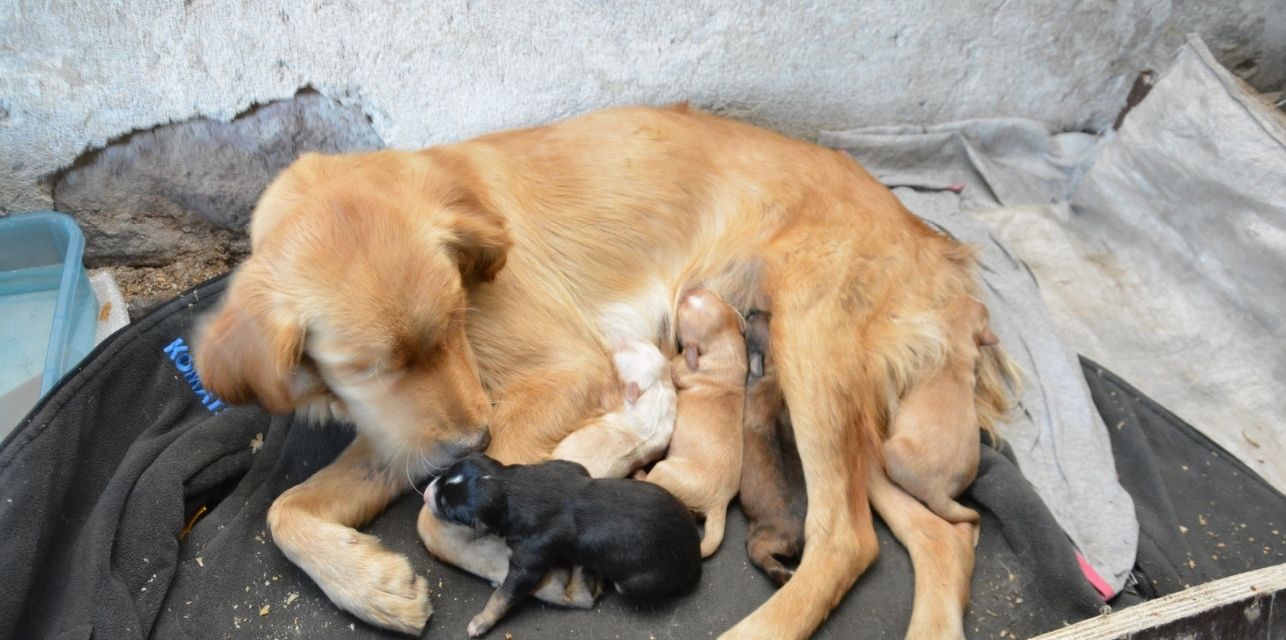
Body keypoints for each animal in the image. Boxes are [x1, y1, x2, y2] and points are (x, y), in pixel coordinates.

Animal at [426, 452, 704, 637]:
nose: (427, 493)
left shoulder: (531, 558)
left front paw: (481, 620)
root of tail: (694, 558)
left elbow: (504, 594)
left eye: (446, 507)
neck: (509, 486)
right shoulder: (568, 466)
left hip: (636, 583)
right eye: (445, 474)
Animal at [640, 287, 745, 557]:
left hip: (664, 471)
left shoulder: (679, 364)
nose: (688, 289)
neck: (723, 346)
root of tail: (720, 504)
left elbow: (670, 360)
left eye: (681, 311)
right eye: (709, 293)